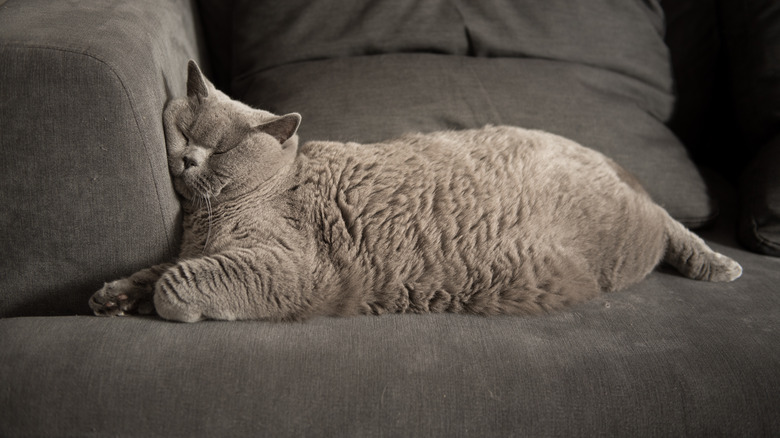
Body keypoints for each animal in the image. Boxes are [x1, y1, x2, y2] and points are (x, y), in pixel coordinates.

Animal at [88, 60, 740, 322]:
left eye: (220, 150)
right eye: (186, 131)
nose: (187, 158)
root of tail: (600, 156)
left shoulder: (285, 264)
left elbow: (177, 281)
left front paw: (158, 303)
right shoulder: (200, 248)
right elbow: (155, 270)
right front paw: (117, 297)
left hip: (630, 237)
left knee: (667, 221)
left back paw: (716, 264)